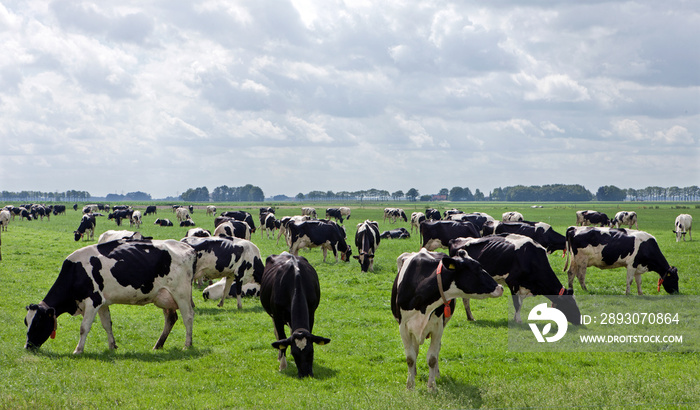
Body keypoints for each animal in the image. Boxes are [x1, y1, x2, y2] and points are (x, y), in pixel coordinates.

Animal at [24, 240, 196, 352]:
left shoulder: (93, 301)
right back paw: (158, 345)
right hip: (164, 297)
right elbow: (107, 325)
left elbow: (84, 327)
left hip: (181, 294)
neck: (76, 272)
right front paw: (112, 346)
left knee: (188, 317)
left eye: (38, 322)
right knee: (171, 318)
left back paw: (187, 345)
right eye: (26, 322)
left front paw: (78, 350)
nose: (27, 346)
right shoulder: (103, 303)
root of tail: (188, 247)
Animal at [392, 248, 506, 390]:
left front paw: (432, 386)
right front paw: (410, 386)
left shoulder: (437, 327)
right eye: (478, 268)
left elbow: (432, 358)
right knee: (416, 349)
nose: (501, 288)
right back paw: (415, 373)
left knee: (436, 350)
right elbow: (410, 358)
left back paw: (436, 374)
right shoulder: (403, 327)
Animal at [448, 235, 580, 326]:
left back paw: (470, 317)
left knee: (465, 299)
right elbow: (517, 303)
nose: (579, 320)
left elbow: (520, 303)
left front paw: (516, 318)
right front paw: (518, 320)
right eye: (570, 304)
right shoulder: (512, 282)